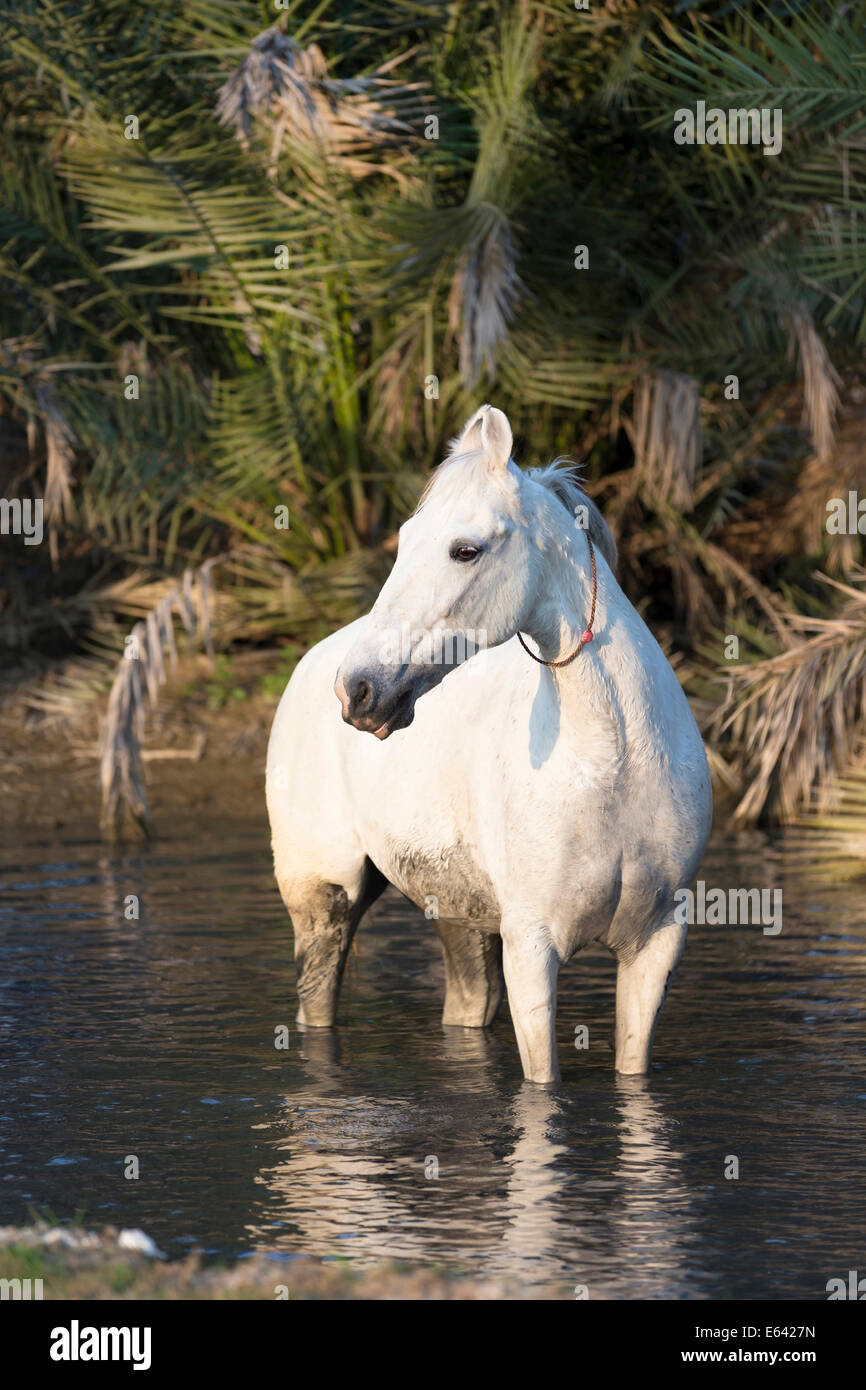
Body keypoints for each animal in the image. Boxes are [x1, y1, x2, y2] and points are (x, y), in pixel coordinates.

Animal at [268, 405, 717, 1084]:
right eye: (405, 540)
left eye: (465, 550)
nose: (359, 690)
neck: (613, 766)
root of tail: (312, 662)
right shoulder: (533, 948)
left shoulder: (654, 947)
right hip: (323, 901)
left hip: (461, 919)